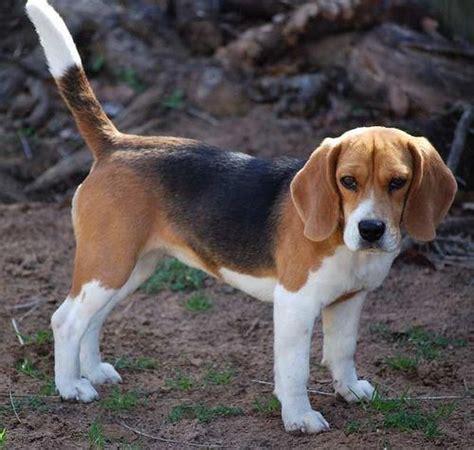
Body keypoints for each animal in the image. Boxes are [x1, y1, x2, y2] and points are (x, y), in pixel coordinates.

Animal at [25, 0, 456, 436]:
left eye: (398, 182)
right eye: (348, 181)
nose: (371, 230)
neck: (344, 241)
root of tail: (117, 144)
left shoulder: (349, 301)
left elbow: (342, 351)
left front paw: (348, 389)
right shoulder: (295, 304)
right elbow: (295, 370)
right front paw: (299, 417)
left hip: (129, 267)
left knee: (92, 320)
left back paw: (92, 371)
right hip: (109, 263)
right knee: (66, 320)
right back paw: (70, 386)